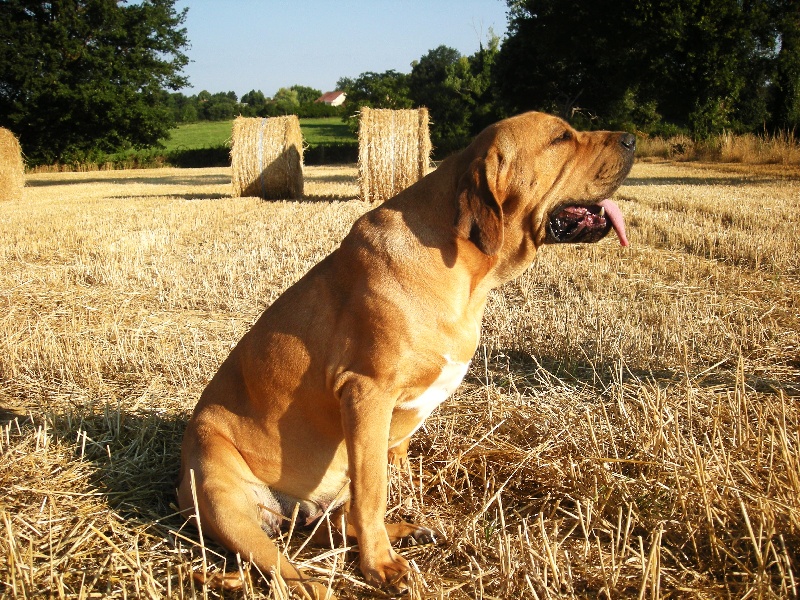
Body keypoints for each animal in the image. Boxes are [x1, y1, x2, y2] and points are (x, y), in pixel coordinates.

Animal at [178, 111, 636, 596]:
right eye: (561, 138)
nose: (631, 139)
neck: (465, 268)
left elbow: (378, 484)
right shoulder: (366, 394)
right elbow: (373, 493)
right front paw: (379, 564)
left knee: (334, 526)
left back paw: (404, 530)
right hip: (224, 496)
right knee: (288, 572)